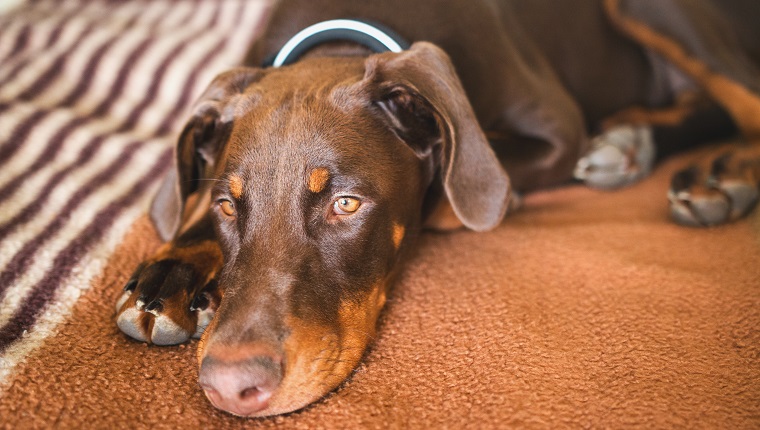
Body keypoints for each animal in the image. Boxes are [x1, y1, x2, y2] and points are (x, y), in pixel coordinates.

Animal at [113, 0, 760, 418]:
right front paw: (166, 278)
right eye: (228, 204)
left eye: (346, 203)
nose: (230, 387)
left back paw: (719, 172)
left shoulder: (557, 131)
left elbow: (455, 189)